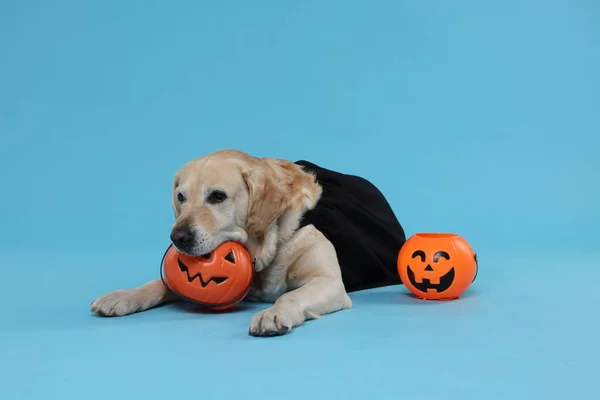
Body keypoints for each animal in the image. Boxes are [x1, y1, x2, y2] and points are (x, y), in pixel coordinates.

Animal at [90, 148, 408, 336]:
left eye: (218, 196)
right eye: (181, 197)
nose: (177, 238)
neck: (271, 240)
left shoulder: (329, 282)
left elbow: (290, 295)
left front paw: (274, 313)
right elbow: (158, 283)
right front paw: (122, 296)